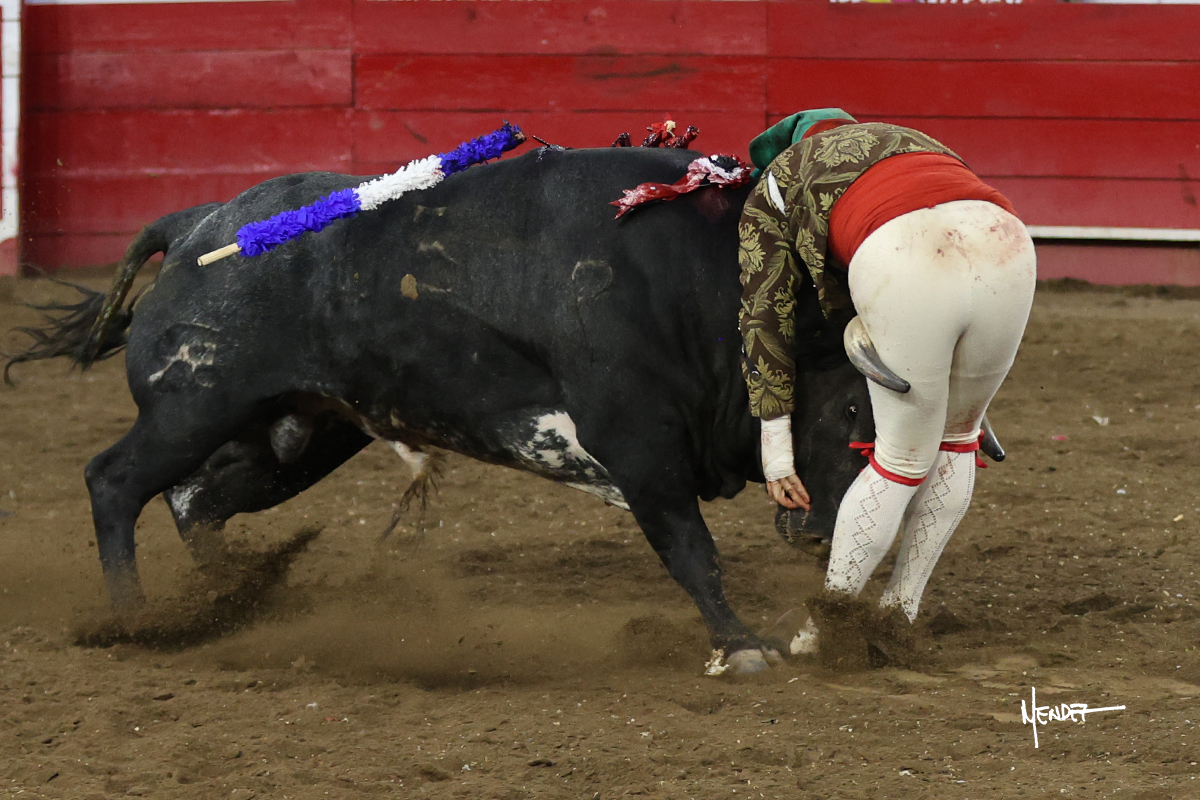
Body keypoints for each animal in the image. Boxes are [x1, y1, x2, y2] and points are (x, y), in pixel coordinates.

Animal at [8, 145, 878, 673]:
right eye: (849, 415)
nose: (822, 530)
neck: (702, 290)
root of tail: (198, 222)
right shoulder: (639, 444)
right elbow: (694, 554)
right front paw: (743, 646)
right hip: (193, 405)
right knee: (116, 481)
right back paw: (136, 619)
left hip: (297, 436)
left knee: (197, 501)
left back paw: (234, 601)